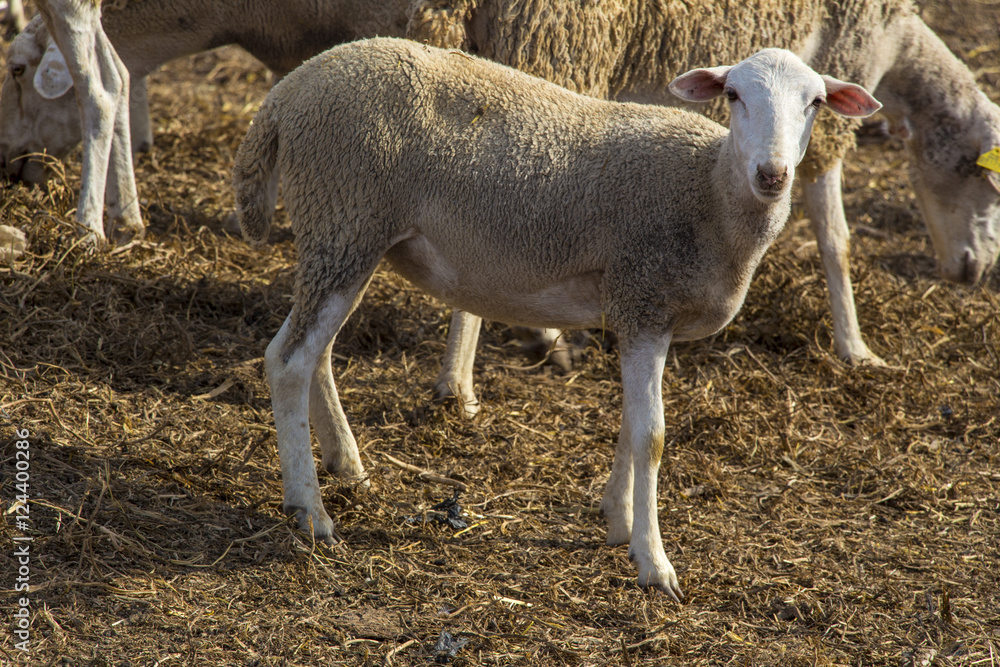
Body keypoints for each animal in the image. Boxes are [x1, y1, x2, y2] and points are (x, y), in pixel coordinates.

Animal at [231, 37, 880, 596]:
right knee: (287, 360)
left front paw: (617, 519)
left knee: (316, 354)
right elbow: (652, 437)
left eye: (815, 103)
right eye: (736, 95)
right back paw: (310, 511)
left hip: (343, 236)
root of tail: (286, 94)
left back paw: (348, 467)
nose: (773, 174)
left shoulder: (641, 312)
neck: (709, 193)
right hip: (345, 213)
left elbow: (631, 425)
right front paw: (654, 563)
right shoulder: (643, 297)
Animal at [408, 0, 1000, 372]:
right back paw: (463, 382)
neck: (894, 42)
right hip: (549, 52)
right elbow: (838, 242)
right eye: (985, 179)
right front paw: (855, 348)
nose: (974, 270)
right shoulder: (834, 111)